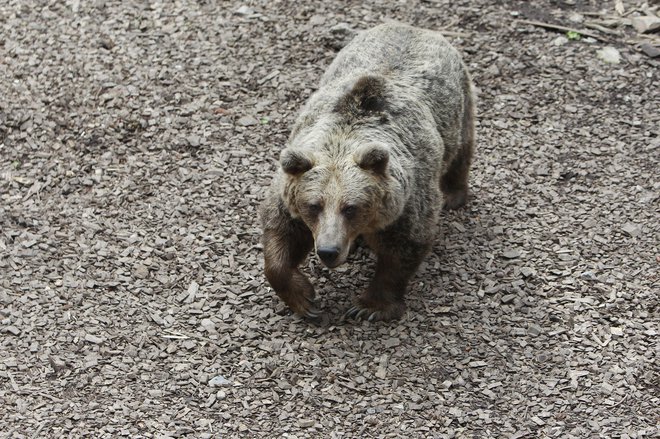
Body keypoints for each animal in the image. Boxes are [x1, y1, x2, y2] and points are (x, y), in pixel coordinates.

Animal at [258, 22, 474, 322]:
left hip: (457, 103)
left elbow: (404, 249)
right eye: (314, 205)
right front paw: (305, 299)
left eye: (351, 207)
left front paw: (369, 306)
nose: (328, 251)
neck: (345, 134)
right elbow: (281, 233)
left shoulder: (407, 201)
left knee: (462, 146)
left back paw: (454, 194)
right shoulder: (292, 185)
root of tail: (411, 26)